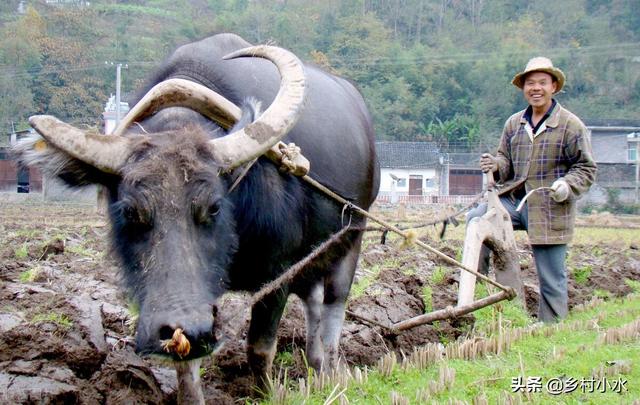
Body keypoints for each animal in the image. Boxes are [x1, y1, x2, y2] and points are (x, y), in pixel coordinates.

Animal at [13, 33, 380, 400]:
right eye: (130, 210)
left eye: (214, 206)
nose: (184, 326)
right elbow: (186, 365)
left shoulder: (278, 271)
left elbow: (260, 348)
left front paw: (267, 393)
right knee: (313, 303)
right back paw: (317, 369)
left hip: (352, 238)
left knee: (332, 308)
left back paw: (330, 371)